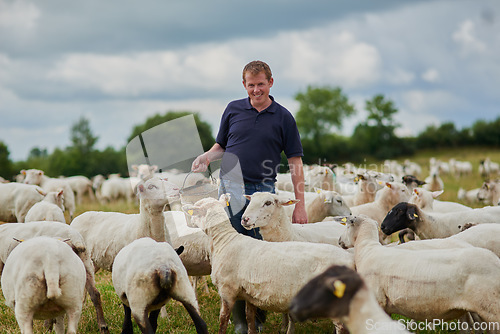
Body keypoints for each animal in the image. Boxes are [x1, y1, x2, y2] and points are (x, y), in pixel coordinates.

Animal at [186, 194, 354, 332]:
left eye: (195, 210)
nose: (187, 223)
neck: (224, 240)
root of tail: (350, 261)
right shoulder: (248, 293)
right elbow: (249, 318)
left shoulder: (227, 290)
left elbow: (223, 321)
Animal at [338, 214, 500, 324]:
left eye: (347, 225)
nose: (339, 241)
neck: (367, 250)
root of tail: (495, 262)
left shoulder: (377, 301)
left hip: (491, 308)